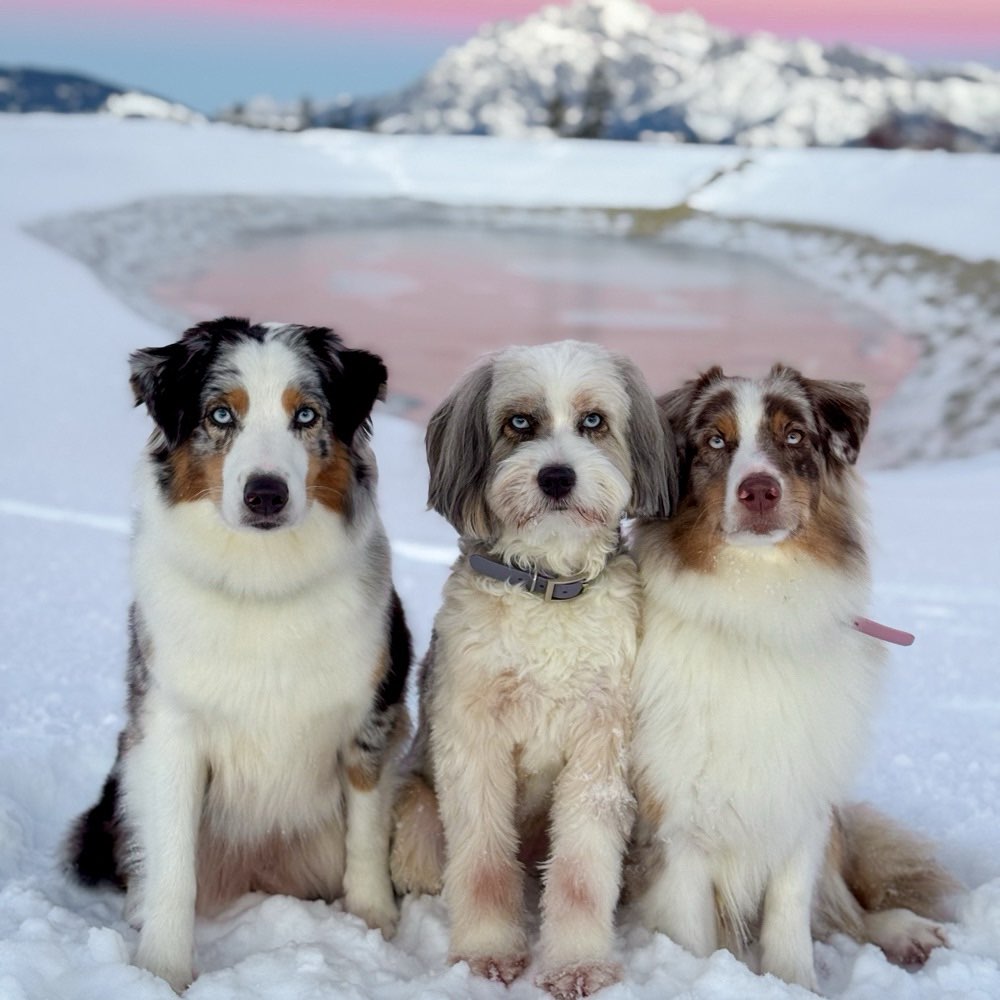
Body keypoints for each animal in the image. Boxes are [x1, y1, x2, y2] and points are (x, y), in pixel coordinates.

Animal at [390, 342, 672, 1000]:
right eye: (519, 422)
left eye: (593, 421)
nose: (556, 477)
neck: (546, 588)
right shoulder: (473, 737)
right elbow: (483, 859)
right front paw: (488, 955)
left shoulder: (601, 741)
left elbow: (582, 870)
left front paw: (578, 966)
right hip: (417, 816)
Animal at [628, 364, 956, 988]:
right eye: (715, 441)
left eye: (795, 436)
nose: (759, 490)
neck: (759, 604)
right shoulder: (675, 821)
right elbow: (692, 936)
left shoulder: (801, 801)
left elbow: (790, 915)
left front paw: (793, 984)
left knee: (844, 910)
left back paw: (905, 931)